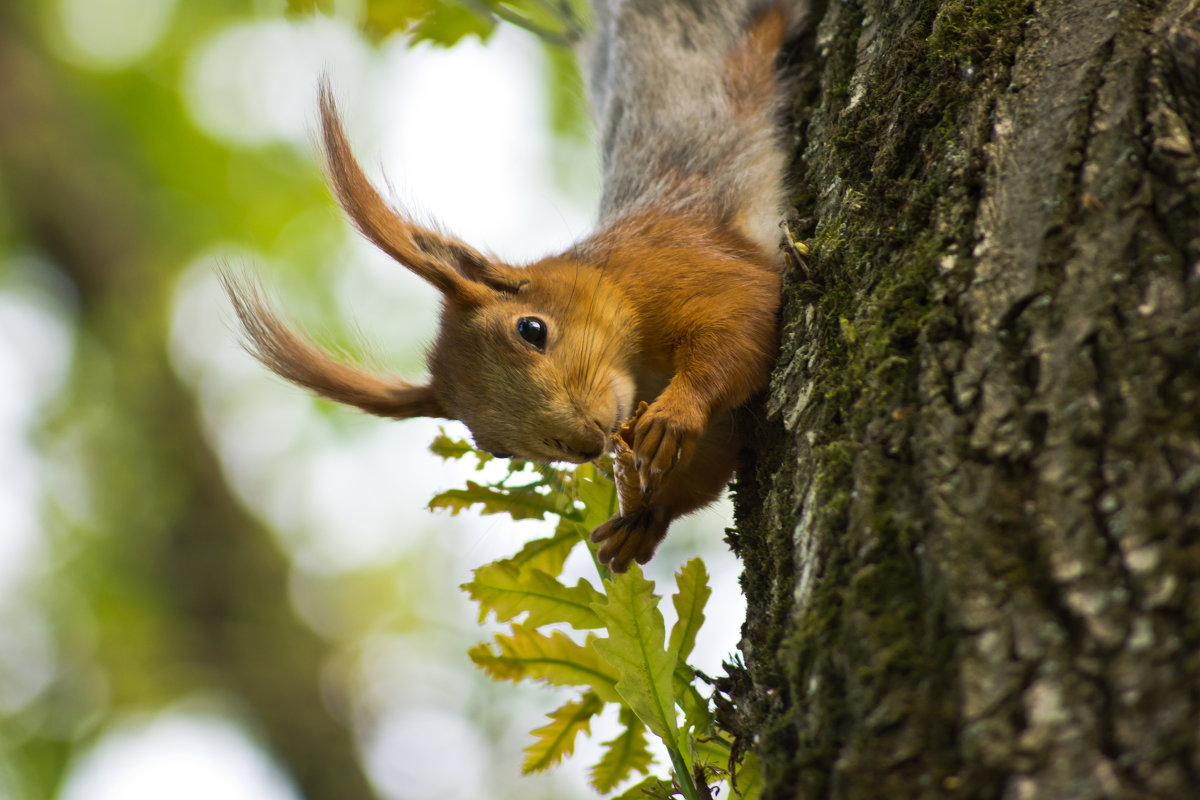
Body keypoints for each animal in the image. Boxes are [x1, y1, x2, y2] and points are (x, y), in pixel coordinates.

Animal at [225, 3, 796, 573]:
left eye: (532, 330)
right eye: (497, 449)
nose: (586, 444)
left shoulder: (684, 261)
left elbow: (742, 325)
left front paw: (676, 415)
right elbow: (714, 454)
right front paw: (641, 521)